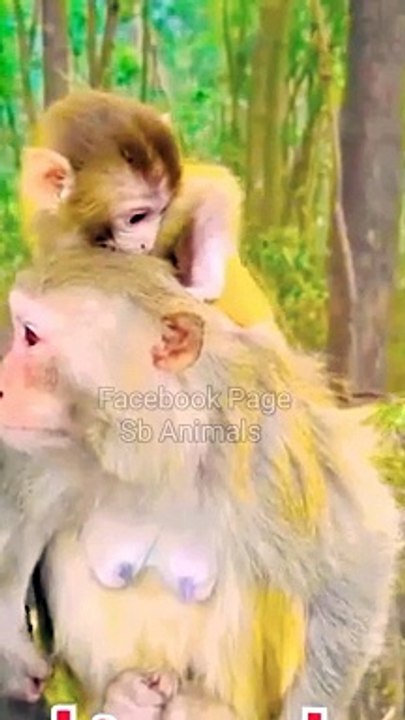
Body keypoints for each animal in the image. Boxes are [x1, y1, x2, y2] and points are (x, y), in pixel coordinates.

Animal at [0, 245, 399, 720]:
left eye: (31, 337)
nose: (0, 384)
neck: (147, 443)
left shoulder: (265, 435)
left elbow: (358, 558)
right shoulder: (39, 448)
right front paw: (14, 657)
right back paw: (124, 696)